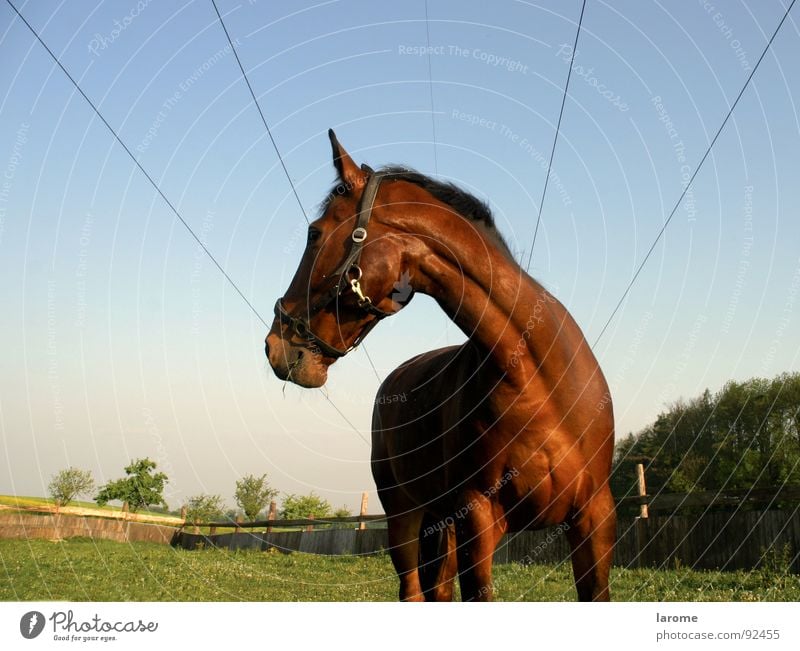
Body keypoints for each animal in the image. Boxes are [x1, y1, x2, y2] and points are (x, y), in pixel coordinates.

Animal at [266, 130, 616, 604]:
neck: (537, 376)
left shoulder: (594, 516)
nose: (275, 347)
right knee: (414, 591)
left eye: (313, 232)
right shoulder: (477, 518)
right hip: (406, 515)